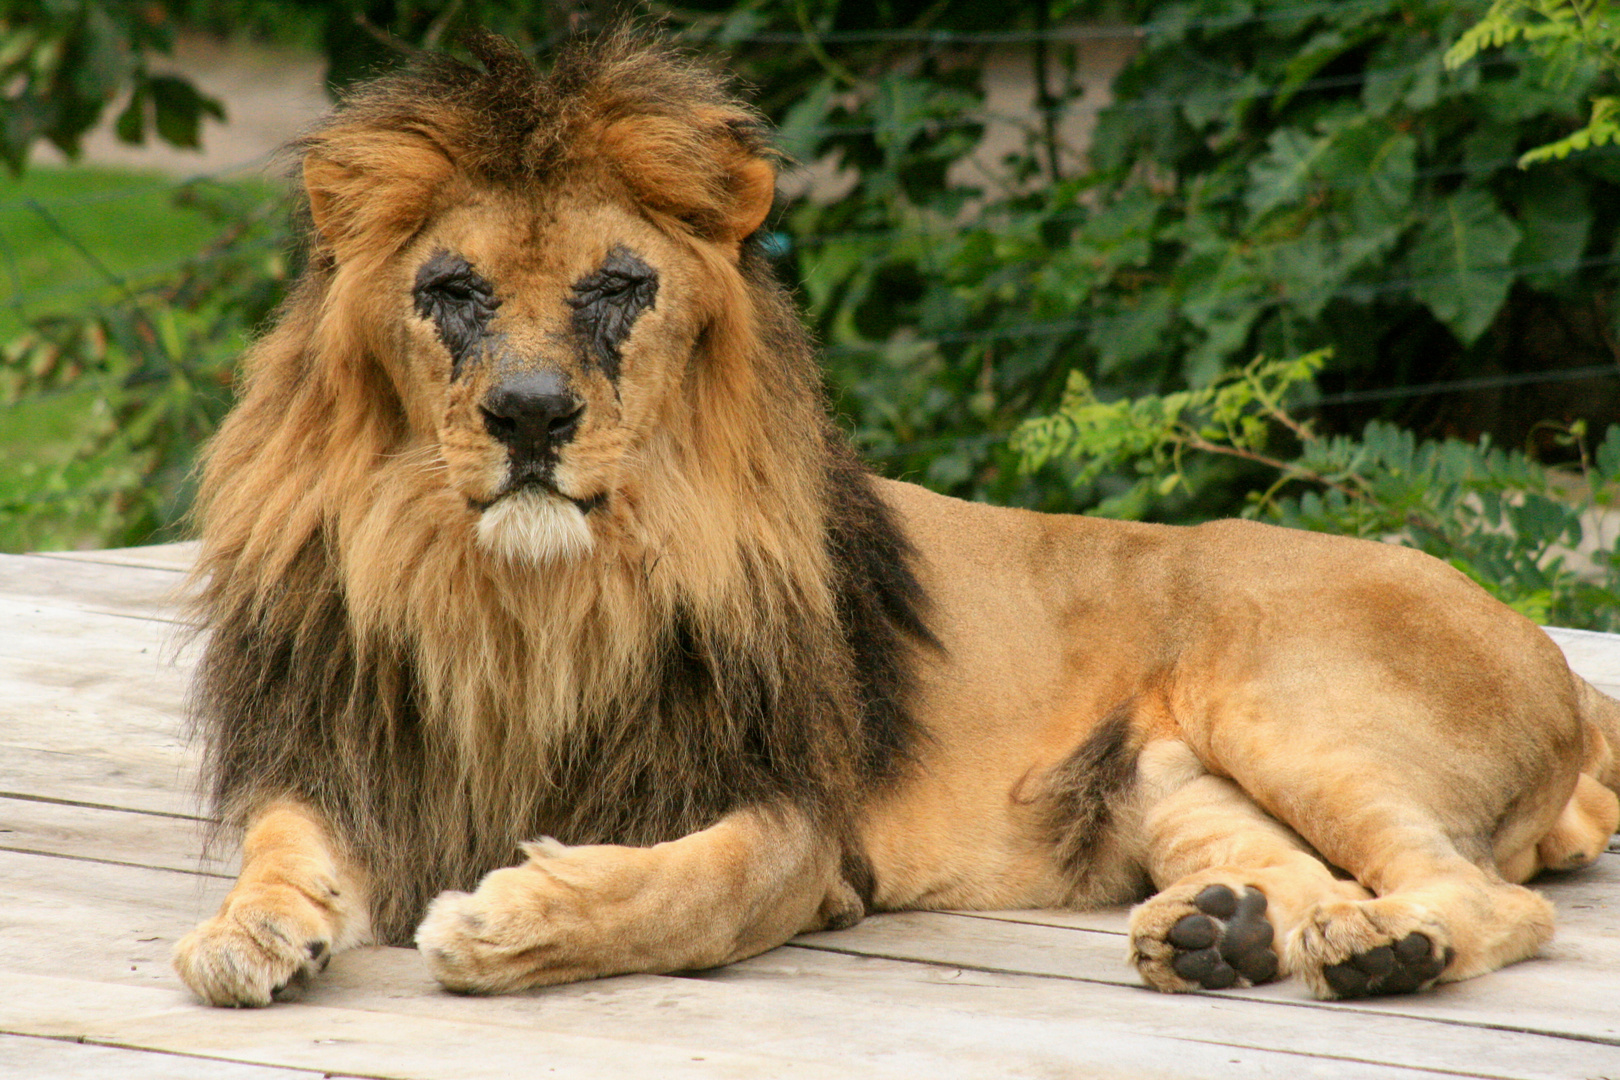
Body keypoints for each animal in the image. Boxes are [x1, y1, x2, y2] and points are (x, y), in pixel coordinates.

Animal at [174, 33, 1620, 1016]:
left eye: (620, 288)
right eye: (454, 292)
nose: (532, 414)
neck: (521, 603)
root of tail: (1560, 663)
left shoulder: (799, 823)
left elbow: (676, 893)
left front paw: (510, 920)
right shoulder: (351, 753)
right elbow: (280, 841)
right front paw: (246, 933)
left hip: (1294, 709)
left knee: (1484, 897)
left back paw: (1383, 952)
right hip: (1176, 788)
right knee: (1317, 880)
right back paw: (1223, 934)